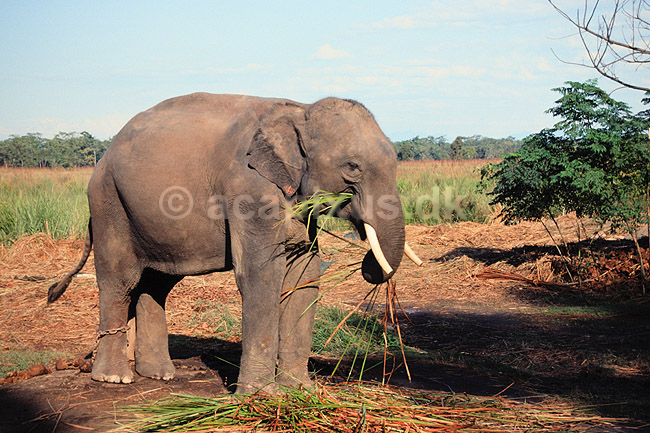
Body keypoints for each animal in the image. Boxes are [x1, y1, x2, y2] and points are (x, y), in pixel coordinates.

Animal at [47, 93, 421, 394]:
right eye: (353, 167)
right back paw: (115, 378)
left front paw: (302, 392)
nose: (368, 263)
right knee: (120, 279)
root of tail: (104, 156)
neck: (299, 108)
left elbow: (305, 275)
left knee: (156, 283)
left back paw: (160, 375)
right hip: (110, 204)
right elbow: (261, 276)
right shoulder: (248, 189)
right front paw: (261, 396)